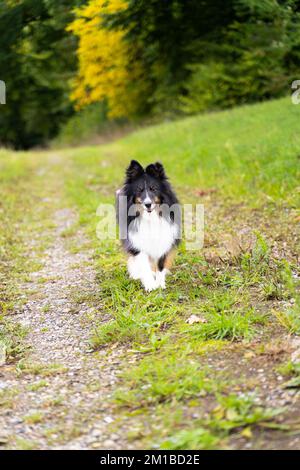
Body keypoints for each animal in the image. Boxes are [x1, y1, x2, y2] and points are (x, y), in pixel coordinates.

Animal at [115, 161, 180, 290]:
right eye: (139, 190)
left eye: (153, 189)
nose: (148, 204)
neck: (150, 217)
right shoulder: (137, 242)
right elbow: (144, 265)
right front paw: (150, 285)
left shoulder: (164, 239)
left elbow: (160, 265)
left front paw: (160, 284)